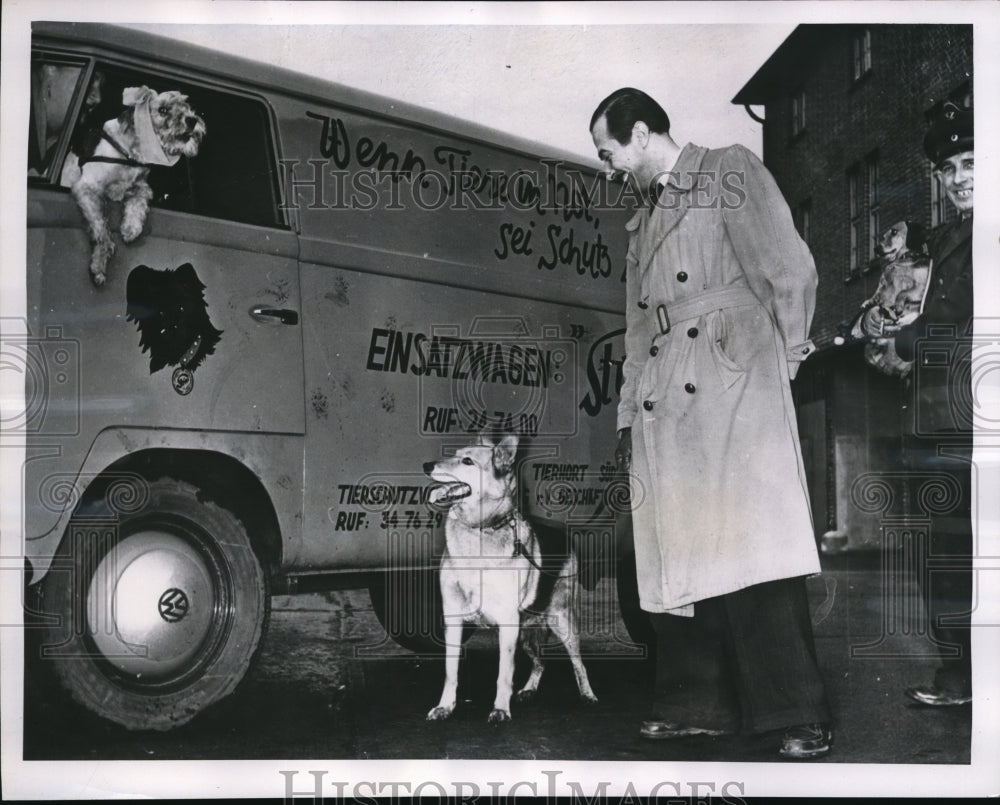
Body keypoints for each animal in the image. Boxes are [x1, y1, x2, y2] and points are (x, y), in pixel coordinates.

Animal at [72, 84, 205, 284]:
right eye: (163, 110)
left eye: (186, 105)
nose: (192, 120)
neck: (129, 153)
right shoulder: (88, 187)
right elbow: (101, 228)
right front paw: (99, 265)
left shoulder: (141, 187)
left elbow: (138, 205)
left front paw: (131, 228)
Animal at [420, 434, 592, 724]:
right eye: (454, 454)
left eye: (467, 461)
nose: (427, 465)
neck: (480, 529)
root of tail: (563, 533)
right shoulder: (453, 618)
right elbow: (450, 671)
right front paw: (445, 706)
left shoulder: (508, 623)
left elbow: (503, 674)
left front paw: (500, 709)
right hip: (527, 632)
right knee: (541, 661)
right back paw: (529, 689)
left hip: (561, 621)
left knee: (578, 662)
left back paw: (588, 694)